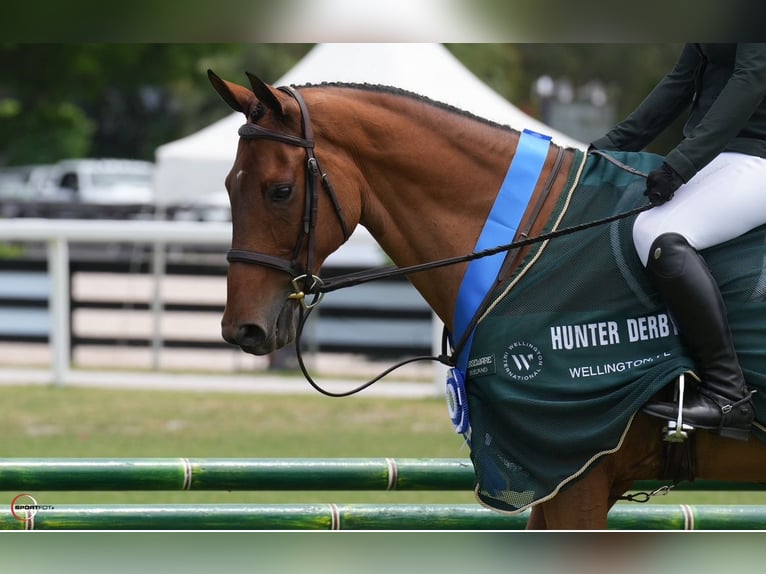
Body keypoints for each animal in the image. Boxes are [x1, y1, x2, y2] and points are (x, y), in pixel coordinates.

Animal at [207, 69, 766, 529]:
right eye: (229, 185)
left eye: (280, 191)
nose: (243, 329)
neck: (528, 242)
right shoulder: (552, 479)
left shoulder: (576, 475)